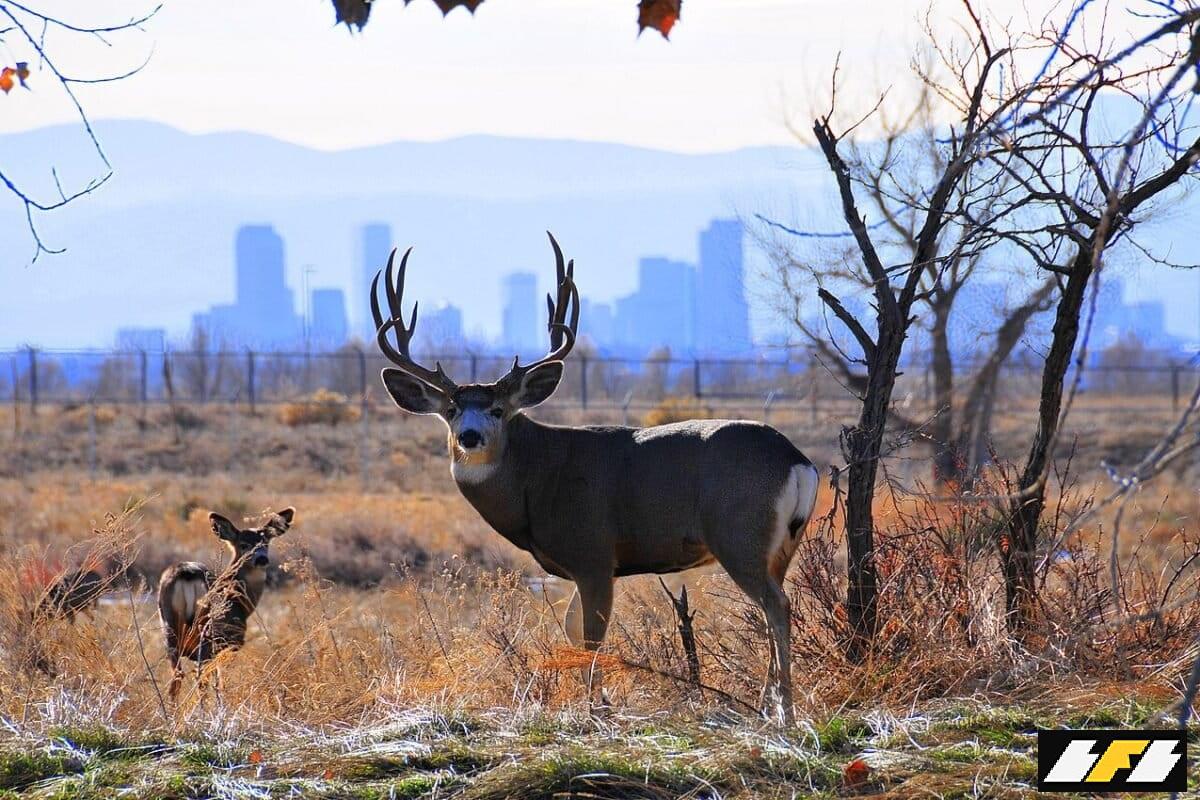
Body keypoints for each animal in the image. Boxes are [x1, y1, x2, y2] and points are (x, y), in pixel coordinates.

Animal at [157, 507, 295, 701]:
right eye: (244, 545)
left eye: (265, 543)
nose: (262, 559)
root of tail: (187, 573)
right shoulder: (231, 641)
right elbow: (221, 682)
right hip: (210, 633)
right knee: (201, 679)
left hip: (168, 625)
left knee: (177, 677)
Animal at [370, 235, 819, 724]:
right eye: (451, 410)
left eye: (498, 410)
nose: (470, 436)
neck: (538, 480)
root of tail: (797, 460)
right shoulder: (580, 565)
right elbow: (571, 629)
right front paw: (597, 698)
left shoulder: (594, 552)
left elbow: (591, 635)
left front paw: (593, 706)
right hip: (782, 545)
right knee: (775, 605)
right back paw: (767, 703)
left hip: (739, 534)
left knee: (777, 605)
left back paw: (785, 709)